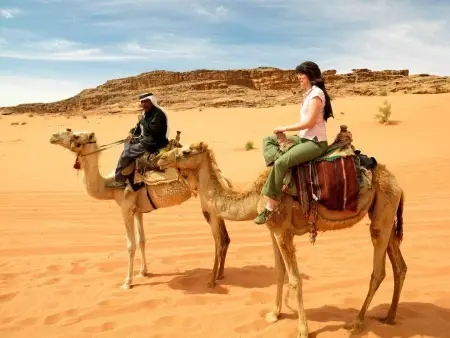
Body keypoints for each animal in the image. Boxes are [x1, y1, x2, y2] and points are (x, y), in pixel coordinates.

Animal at [48, 128, 232, 290]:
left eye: (76, 135)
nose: (53, 136)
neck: (109, 186)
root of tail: (223, 177)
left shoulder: (126, 208)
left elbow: (130, 245)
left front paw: (127, 282)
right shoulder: (138, 211)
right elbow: (142, 240)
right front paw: (143, 272)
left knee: (219, 240)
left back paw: (214, 279)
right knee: (225, 238)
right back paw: (220, 275)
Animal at [156, 139, 406, 338]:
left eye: (186, 151)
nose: (159, 158)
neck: (257, 194)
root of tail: (398, 184)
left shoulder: (283, 231)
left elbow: (295, 279)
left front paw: (303, 330)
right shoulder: (273, 230)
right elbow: (279, 272)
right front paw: (274, 314)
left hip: (382, 214)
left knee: (379, 271)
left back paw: (357, 322)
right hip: (385, 214)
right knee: (399, 266)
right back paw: (390, 316)